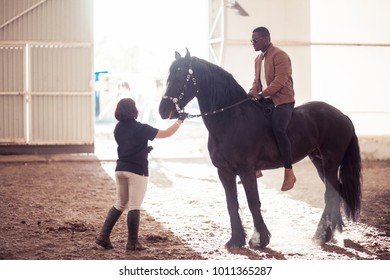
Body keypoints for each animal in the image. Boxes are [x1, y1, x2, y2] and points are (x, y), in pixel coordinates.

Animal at [159, 49, 362, 249]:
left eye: (180, 76)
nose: (163, 110)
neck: (231, 119)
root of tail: (342, 115)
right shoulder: (224, 172)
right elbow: (231, 204)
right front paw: (236, 240)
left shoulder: (246, 170)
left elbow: (253, 202)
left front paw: (259, 239)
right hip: (319, 162)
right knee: (335, 192)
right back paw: (332, 232)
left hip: (330, 163)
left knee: (330, 194)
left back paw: (320, 235)